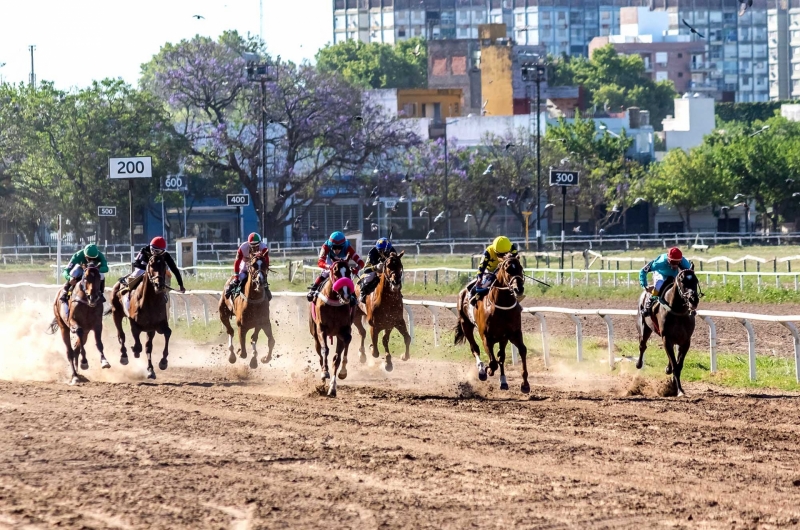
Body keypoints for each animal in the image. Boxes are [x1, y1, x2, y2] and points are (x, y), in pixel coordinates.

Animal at [308, 256, 354, 396]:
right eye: (335, 271)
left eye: (349, 272)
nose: (346, 295)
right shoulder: (321, 329)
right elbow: (325, 350)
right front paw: (324, 373)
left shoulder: (343, 330)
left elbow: (339, 355)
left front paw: (341, 375)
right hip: (314, 334)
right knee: (320, 354)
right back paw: (323, 378)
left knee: (336, 357)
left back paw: (331, 386)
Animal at [454, 256, 528, 392]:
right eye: (507, 269)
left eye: (520, 268)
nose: (518, 289)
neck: (502, 306)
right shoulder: (486, 337)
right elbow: (493, 362)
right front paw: (488, 370)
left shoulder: (513, 334)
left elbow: (522, 350)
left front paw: (525, 384)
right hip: (465, 324)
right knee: (475, 348)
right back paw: (482, 371)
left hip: (502, 338)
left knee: (501, 356)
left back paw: (503, 381)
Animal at [636, 264, 700, 396]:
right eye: (682, 281)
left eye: (695, 280)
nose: (693, 300)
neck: (678, 311)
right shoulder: (666, 338)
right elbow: (675, 365)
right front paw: (679, 390)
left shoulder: (686, 341)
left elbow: (679, 365)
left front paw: (677, 387)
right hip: (644, 327)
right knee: (642, 345)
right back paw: (639, 364)